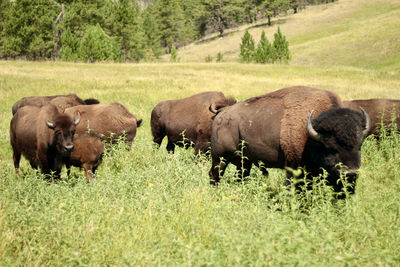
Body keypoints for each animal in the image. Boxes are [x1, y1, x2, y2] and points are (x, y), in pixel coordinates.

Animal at [211, 86, 370, 197]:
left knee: (240, 177)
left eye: (360, 145)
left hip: (244, 161)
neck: (311, 136)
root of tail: (222, 114)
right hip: (219, 158)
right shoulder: (295, 167)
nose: (350, 173)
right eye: (330, 147)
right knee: (214, 175)